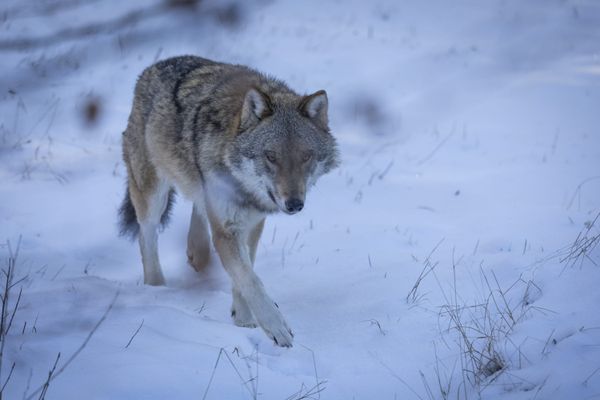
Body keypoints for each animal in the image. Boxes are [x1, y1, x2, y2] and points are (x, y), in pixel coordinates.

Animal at [119, 56, 340, 346]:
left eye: (306, 156)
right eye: (271, 156)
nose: (294, 204)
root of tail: (153, 67)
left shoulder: (252, 223)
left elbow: (246, 271)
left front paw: (243, 320)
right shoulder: (228, 229)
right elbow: (250, 279)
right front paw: (276, 327)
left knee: (198, 209)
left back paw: (198, 252)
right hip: (152, 195)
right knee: (147, 237)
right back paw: (156, 289)